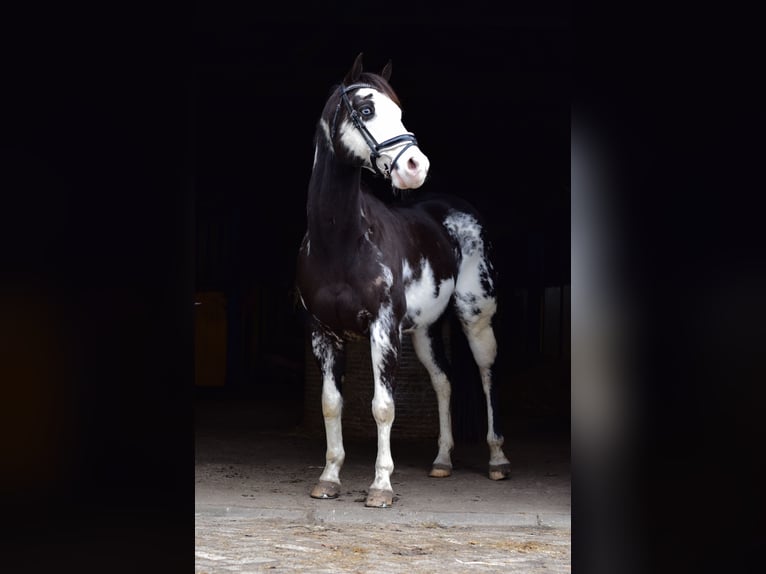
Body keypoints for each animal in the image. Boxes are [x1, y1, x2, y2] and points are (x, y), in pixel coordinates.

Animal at [296, 53, 511, 508]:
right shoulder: (322, 331)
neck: (340, 242)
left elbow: (383, 406)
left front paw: (381, 486)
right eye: (365, 110)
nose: (416, 167)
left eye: (399, 111)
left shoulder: (382, 329)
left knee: (487, 373)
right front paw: (329, 477)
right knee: (443, 381)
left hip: (475, 317)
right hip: (425, 329)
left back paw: (498, 460)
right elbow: (331, 404)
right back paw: (442, 460)